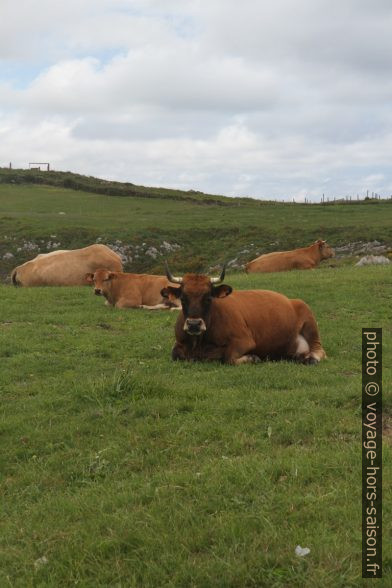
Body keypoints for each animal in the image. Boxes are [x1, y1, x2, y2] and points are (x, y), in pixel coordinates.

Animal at [164, 264, 326, 366]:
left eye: (208, 298)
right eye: (183, 298)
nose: (194, 324)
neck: (199, 343)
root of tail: (292, 300)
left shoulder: (244, 340)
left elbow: (228, 357)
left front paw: (252, 358)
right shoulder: (179, 343)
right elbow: (175, 354)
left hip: (310, 322)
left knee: (320, 350)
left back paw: (311, 359)